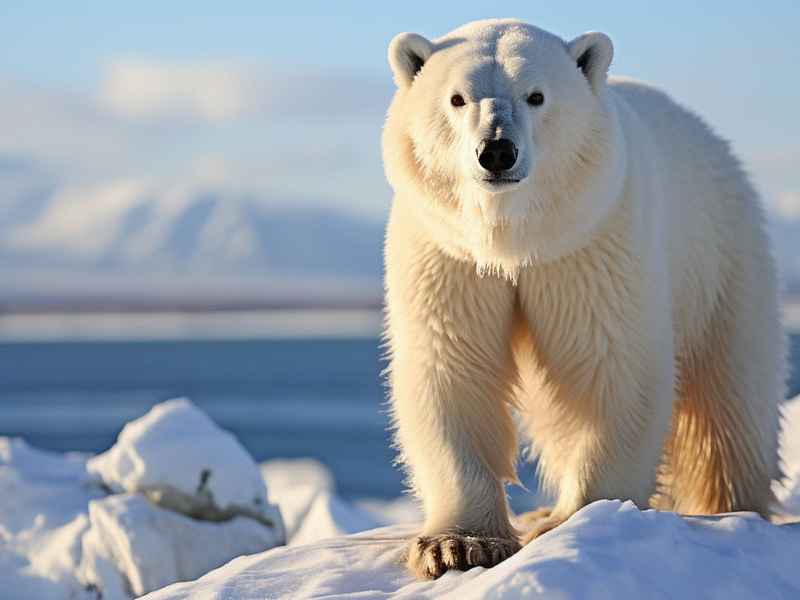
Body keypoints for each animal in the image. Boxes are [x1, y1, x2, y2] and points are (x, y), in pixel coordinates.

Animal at [381, 19, 786, 580]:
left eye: (536, 95)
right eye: (458, 98)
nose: (497, 151)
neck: (515, 239)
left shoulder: (591, 243)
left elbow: (611, 367)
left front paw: (576, 520)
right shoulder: (449, 254)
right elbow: (452, 368)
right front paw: (457, 545)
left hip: (722, 254)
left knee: (730, 395)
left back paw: (728, 505)